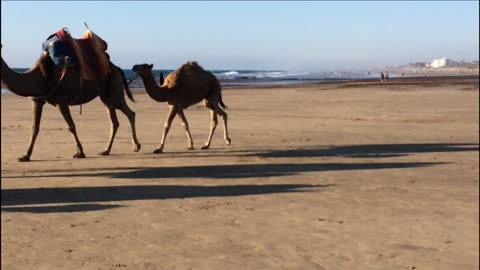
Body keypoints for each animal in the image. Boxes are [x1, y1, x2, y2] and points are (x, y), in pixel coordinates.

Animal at [0, 47, 141, 161]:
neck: (39, 77)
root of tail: (118, 68)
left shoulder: (61, 100)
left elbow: (71, 126)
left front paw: (80, 153)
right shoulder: (37, 101)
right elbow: (35, 128)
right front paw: (25, 156)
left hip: (114, 91)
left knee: (130, 113)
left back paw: (136, 146)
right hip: (106, 96)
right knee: (114, 122)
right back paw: (106, 150)